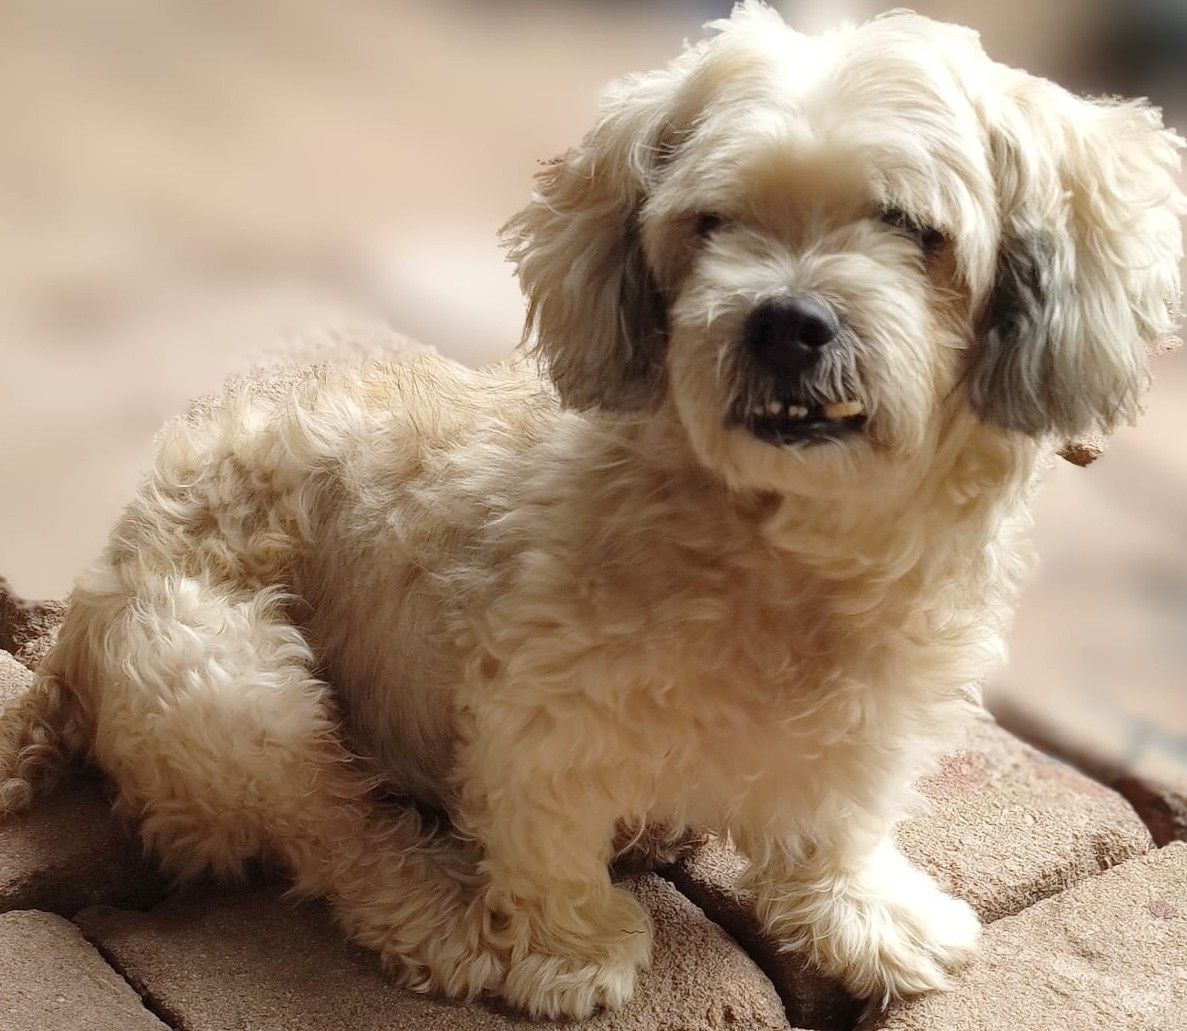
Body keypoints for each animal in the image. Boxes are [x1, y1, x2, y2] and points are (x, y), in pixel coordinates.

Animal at [0, 2, 1181, 1020]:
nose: (784, 321)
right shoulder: (534, 719)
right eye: (711, 223)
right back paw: (443, 914)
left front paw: (865, 916)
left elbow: (832, 826)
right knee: (336, 834)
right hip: (233, 683)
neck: (786, 555)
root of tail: (72, 640)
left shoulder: (871, 718)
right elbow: (547, 845)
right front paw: (565, 950)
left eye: (907, 224)